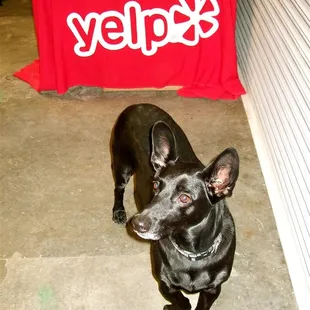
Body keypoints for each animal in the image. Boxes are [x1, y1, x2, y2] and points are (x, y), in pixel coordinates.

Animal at [111, 104, 240, 310]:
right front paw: (171, 307)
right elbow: (184, 302)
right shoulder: (166, 285)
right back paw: (118, 212)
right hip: (122, 165)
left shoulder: (213, 289)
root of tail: (137, 105)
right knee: (118, 189)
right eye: (156, 185)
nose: (137, 223)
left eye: (184, 198)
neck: (192, 252)